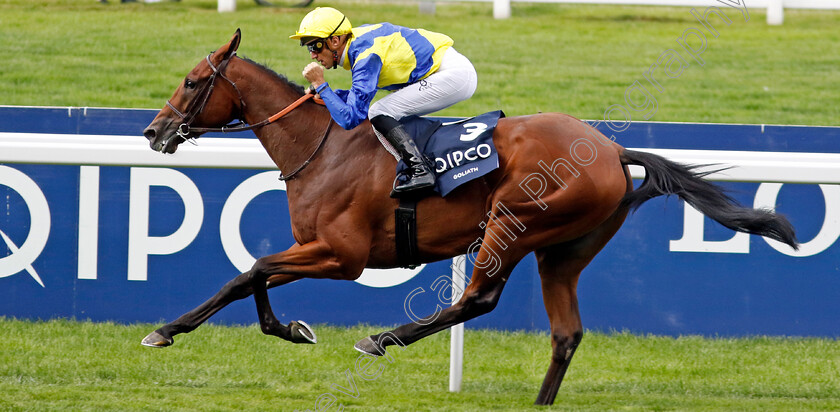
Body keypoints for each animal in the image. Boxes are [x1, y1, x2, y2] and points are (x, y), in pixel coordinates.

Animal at [141, 31, 796, 406]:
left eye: (193, 82)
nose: (153, 131)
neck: (322, 147)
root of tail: (612, 150)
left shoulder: (344, 256)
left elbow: (251, 269)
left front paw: (191, 329)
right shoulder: (317, 249)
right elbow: (249, 277)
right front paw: (266, 328)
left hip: (513, 223)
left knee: (477, 299)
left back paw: (383, 337)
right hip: (563, 252)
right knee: (566, 332)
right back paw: (538, 402)